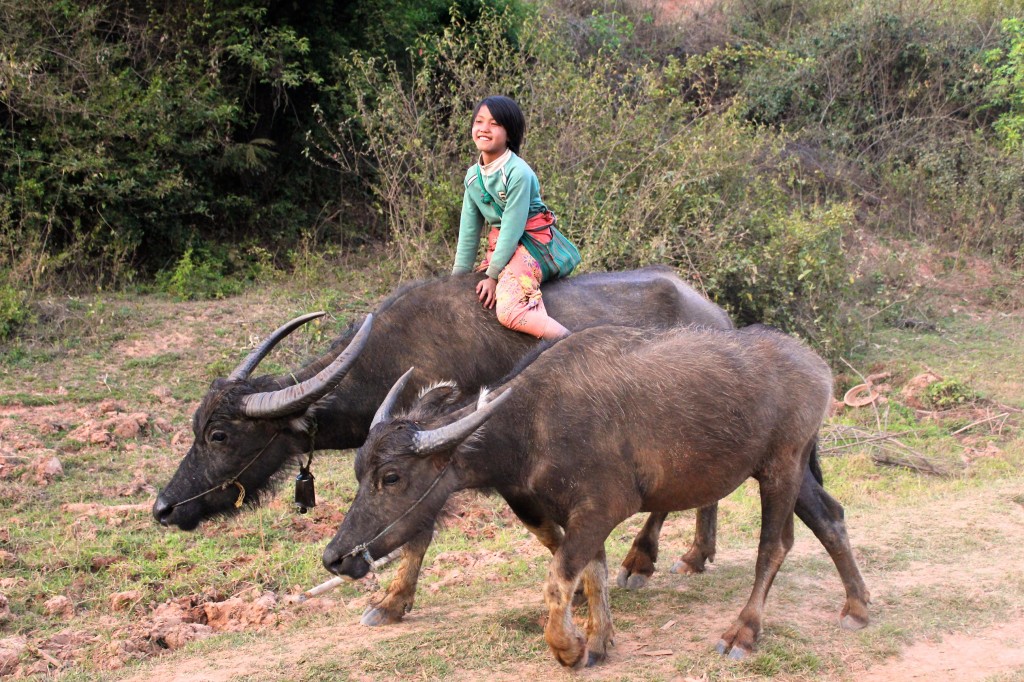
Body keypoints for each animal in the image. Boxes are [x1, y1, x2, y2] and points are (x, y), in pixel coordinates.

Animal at [151, 266, 733, 622]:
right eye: (196, 425)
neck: (397, 353)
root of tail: (715, 313)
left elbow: (420, 530)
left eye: (220, 434)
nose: (163, 507)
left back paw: (653, 559)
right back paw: (690, 554)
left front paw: (391, 602)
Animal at [323, 323, 868, 663]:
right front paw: (599, 639)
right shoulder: (570, 514)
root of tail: (818, 368)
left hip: (781, 468)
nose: (333, 557)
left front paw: (568, 648)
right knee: (831, 517)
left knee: (775, 546)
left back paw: (743, 633)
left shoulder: (603, 508)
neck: (532, 423)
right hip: (789, 471)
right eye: (358, 469)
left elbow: (559, 579)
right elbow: (592, 572)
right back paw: (858, 606)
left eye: (392, 477)